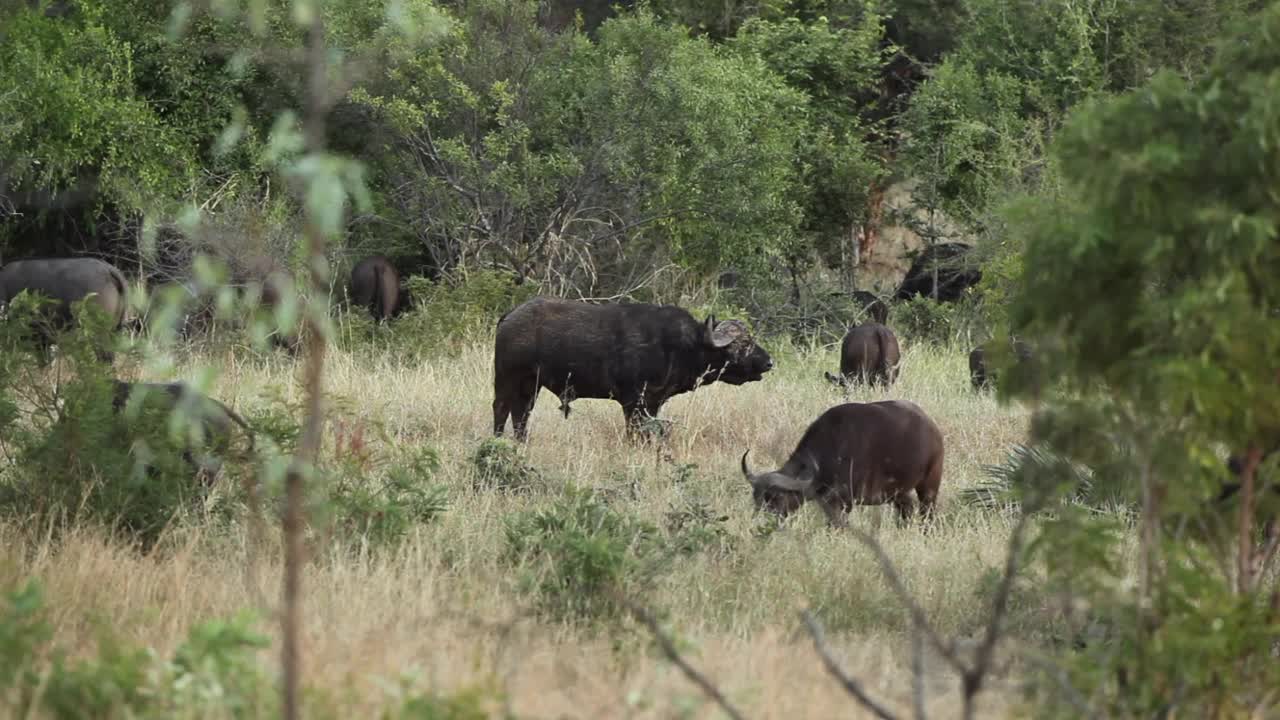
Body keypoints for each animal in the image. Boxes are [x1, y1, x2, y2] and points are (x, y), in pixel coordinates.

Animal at [486, 295, 768, 438]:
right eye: (744, 344)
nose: (768, 362)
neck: (679, 345)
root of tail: (509, 317)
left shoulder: (652, 404)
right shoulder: (633, 402)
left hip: (530, 386)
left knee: (521, 414)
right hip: (507, 379)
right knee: (501, 409)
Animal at [737, 397, 947, 527]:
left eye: (776, 497)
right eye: (756, 498)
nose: (759, 520)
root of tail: (932, 428)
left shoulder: (844, 503)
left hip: (929, 485)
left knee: (927, 513)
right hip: (899, 492)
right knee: (907, 510)